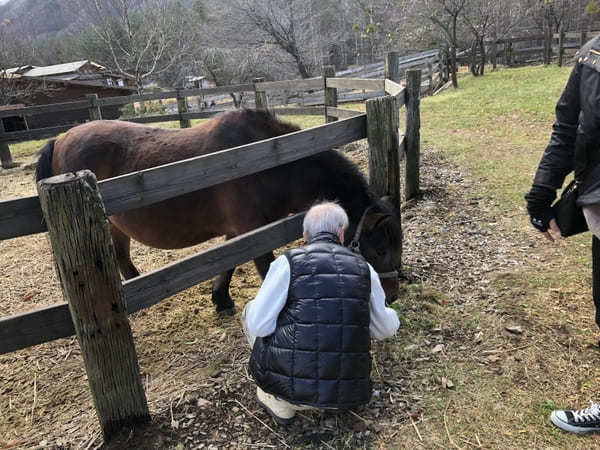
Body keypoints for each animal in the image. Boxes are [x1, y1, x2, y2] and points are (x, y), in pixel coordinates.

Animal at [37, 109, 404, 312]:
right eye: (380, 249)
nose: (392, 296)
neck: (270, 162)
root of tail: (60, 138)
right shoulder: (253, 231)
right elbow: (264, 267)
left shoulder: (238, 231)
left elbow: (227, 263)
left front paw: (221, 299)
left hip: (116, 226)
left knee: (122, 259)